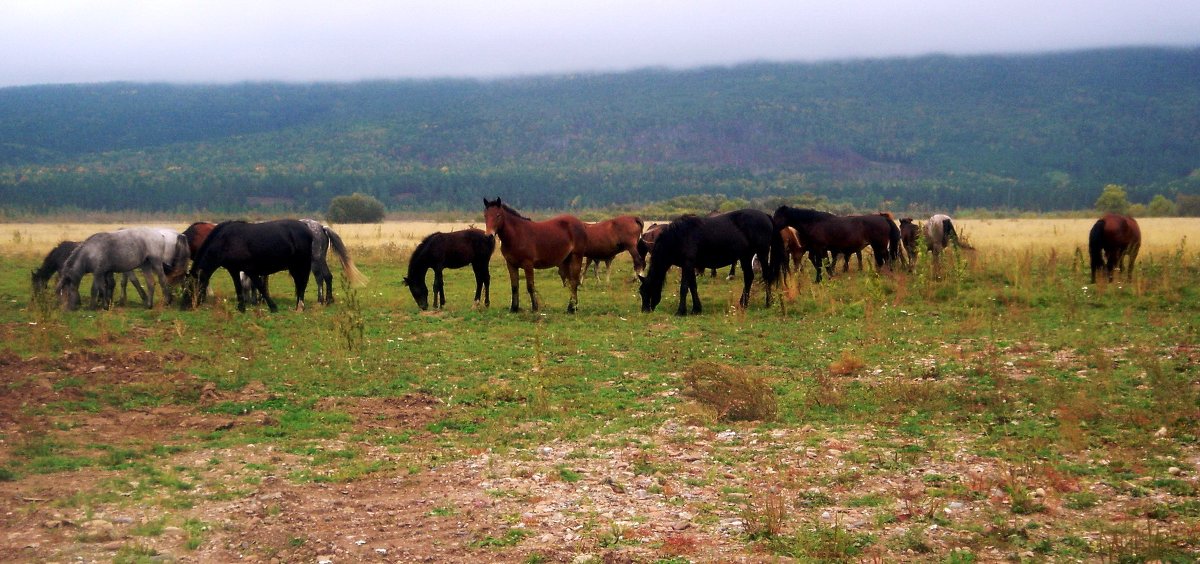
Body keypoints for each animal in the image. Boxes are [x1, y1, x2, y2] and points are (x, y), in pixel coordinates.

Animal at [55, 226, 187, 309]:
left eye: (65, 292)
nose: (67, 308)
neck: (90, 251)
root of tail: (161, 235)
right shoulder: (106, 272)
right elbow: (106, 287)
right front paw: (106, 303)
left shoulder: (98, 272)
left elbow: (95, 289)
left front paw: (94, 306)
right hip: (145, 265)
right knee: (150, 282)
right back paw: (148, 305)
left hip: (156, 263)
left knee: (162, 280)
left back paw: (167, 301)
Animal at [638, 208, 787, 314]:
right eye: (641, 292)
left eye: (646, 290)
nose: (645, 310)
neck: (678, 237)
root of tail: (766, 216)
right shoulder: (690, 266)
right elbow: (693, 286)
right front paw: (696, 309)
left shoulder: (687, 264)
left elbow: (684, 287)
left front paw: (681, 311)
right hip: (746, 255)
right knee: (749, 277)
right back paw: (743, 304)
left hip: (762, 252)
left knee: (766, 276)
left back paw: (768, 302)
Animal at [768, 206, 902, 282]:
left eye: (779, 216)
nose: (772, 227)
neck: (814, 222)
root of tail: (884, 218)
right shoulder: (818, 249)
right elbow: (821, 264)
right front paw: (820, 279)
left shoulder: (821, 248)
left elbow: (825, 264)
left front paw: (826, 278)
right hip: (877, 246)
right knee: (881, 260)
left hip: (880, 245)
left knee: (885, 259)